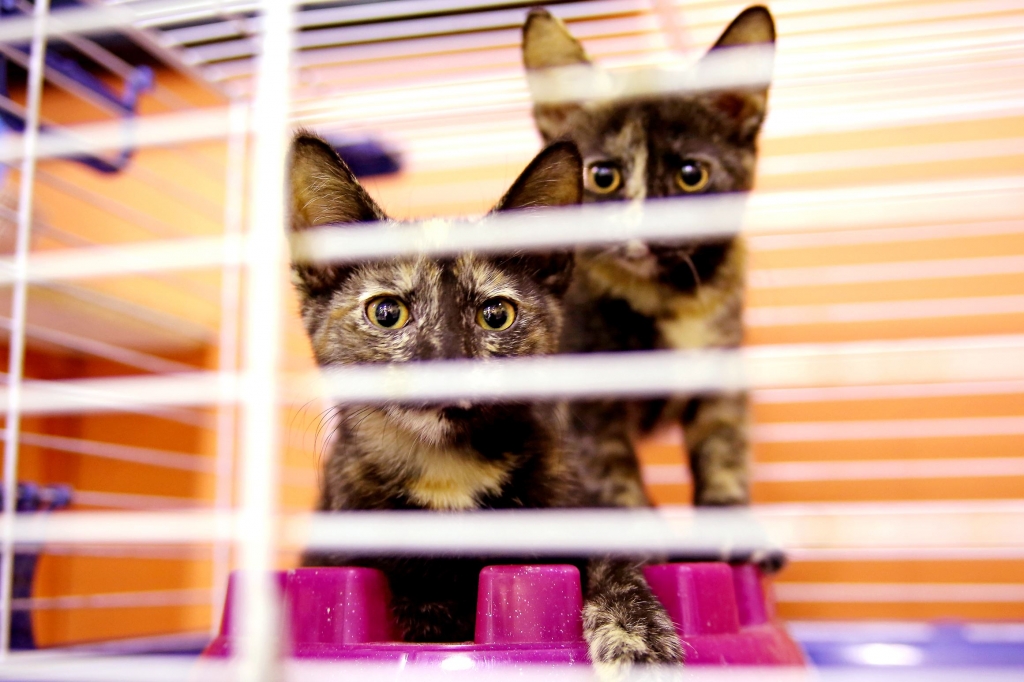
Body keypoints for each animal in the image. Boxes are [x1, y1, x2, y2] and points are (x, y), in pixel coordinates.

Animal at [524, 5, 770, 516]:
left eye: (691, 175)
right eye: (603, 176)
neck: (666, 294)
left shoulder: (722, 378)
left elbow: (725, 451)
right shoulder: (584, 406)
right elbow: (612, 480)